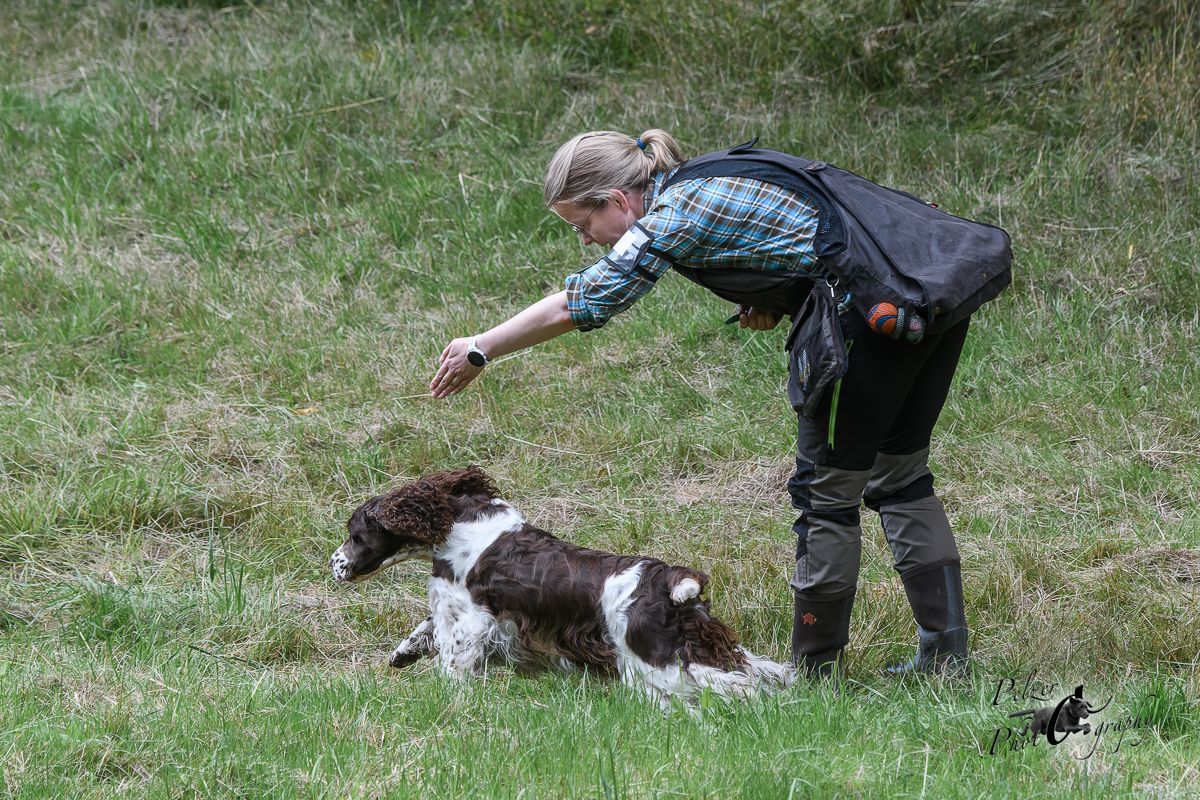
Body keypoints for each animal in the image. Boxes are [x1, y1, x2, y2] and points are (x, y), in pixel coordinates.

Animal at [330, 466, 794, 706]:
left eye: (354, 535)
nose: (333, 565)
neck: (456, 524)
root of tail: (667, 580)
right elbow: (426, 628)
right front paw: (403, 653)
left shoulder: (472, 619)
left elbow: (452, 660)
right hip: (694, 646)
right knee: (753, 669)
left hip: (655, 663)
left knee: (728, 687)